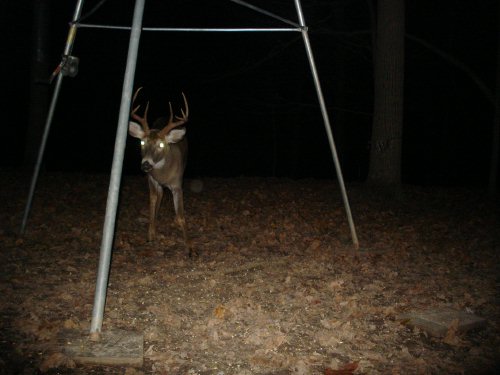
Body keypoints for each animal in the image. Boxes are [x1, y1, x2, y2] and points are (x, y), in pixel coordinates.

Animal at [127, 88, 193, 258]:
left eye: (161, 144)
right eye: (142, 142)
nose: (145, 164)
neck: (163, 174)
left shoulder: (177, 184)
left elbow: (181, 216)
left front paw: (190, 248)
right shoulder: (152, 179)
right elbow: (152, 202)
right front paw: (150, 235)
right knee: (159, 196)